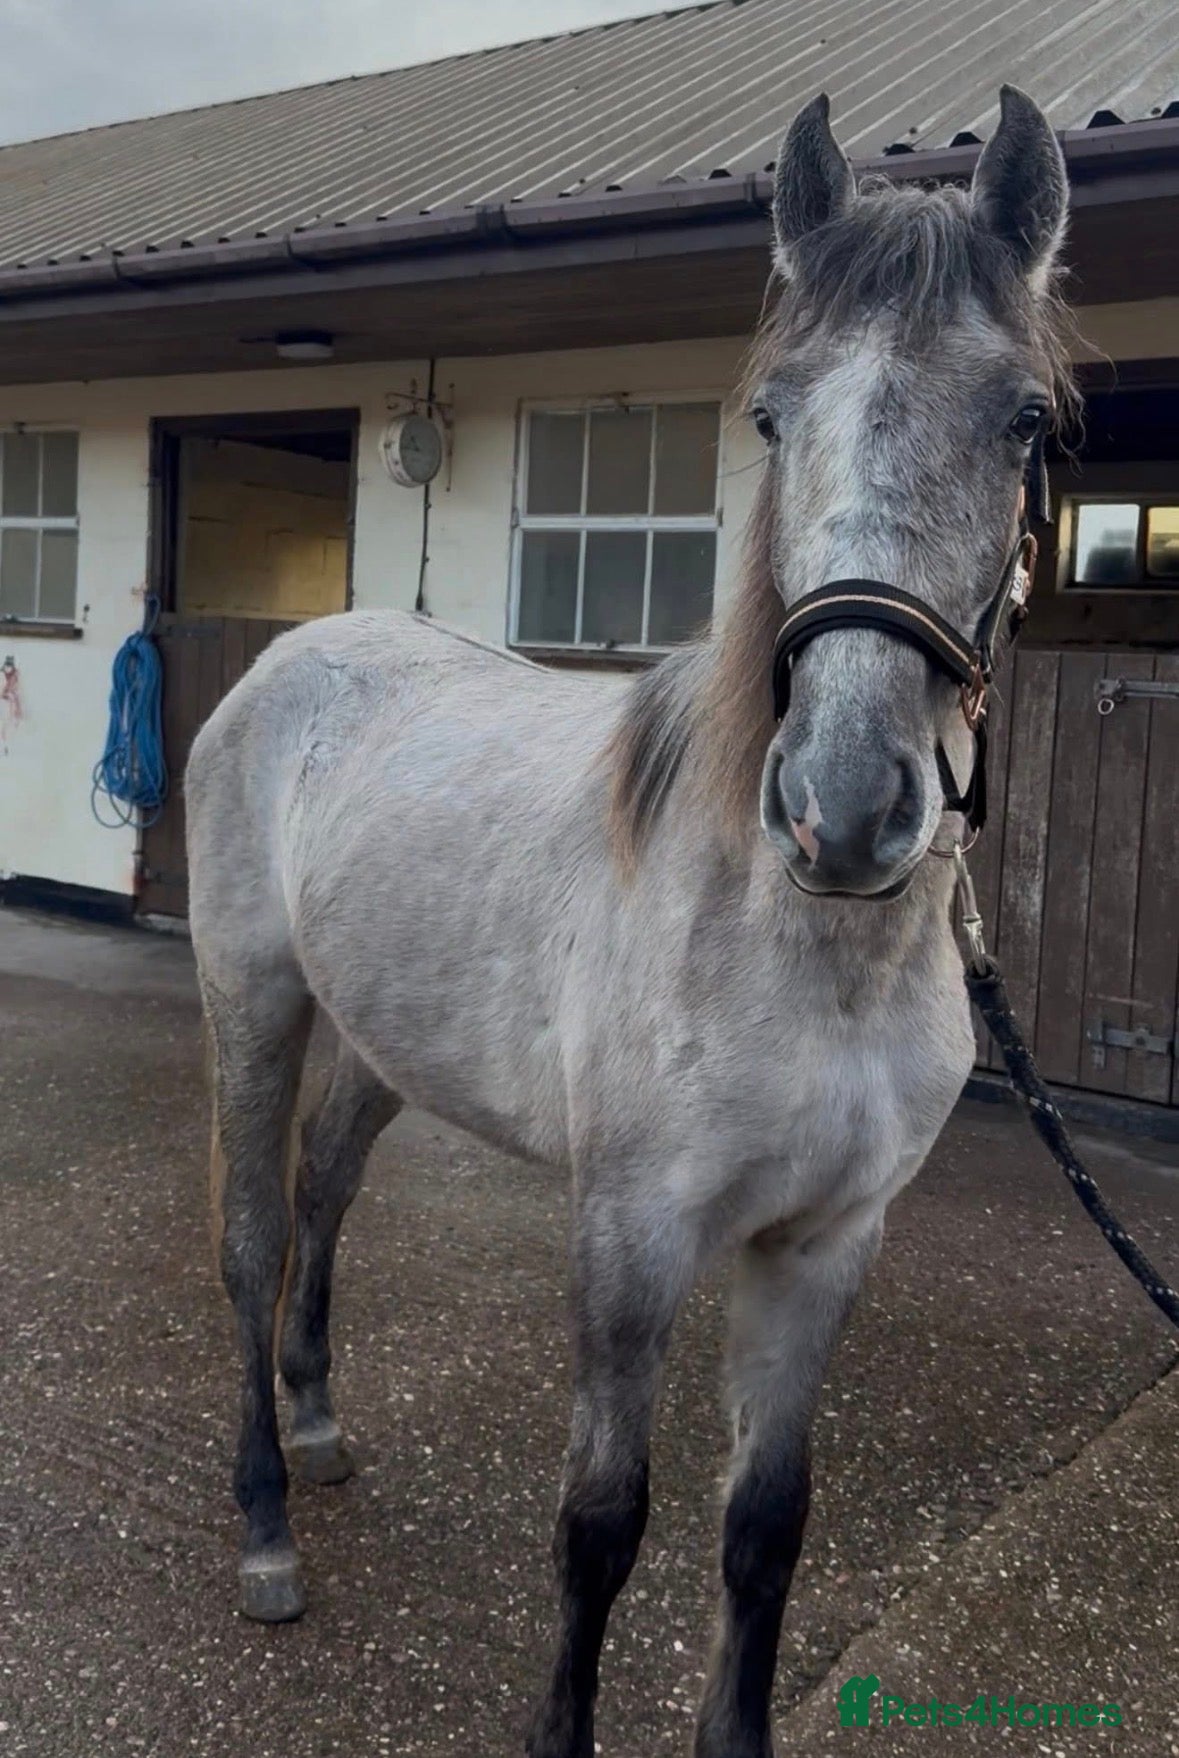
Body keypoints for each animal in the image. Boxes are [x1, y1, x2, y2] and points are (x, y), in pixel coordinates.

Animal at [186, 86, 1072, 1758]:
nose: (841, 808)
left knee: (326, 1192)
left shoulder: (820, 1244)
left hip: (382, 1044)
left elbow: (763, 1526)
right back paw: (264, 1530)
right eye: (770, 416)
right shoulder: (632, 1235)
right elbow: (600, 1522)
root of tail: (293, 657)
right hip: (254, 1007)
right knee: (254, 1236)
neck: (803, 950)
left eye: (1024, 423)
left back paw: (320, 1421)